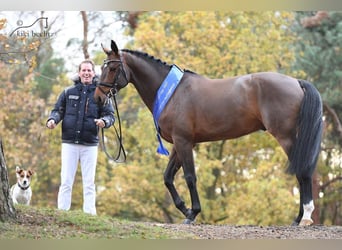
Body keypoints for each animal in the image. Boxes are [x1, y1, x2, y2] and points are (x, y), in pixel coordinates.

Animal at [94, 40, 324, 226]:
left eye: (112, 68)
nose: (98, 97)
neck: (173, 93)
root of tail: (296, 82)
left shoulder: (184, 141)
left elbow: (189, 177)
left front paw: (192, 213)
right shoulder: (181, 143)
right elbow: (168, 177)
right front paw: (185, 208)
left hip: (286, 137)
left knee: (302, 171)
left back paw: (304, 217)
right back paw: (298, 218)